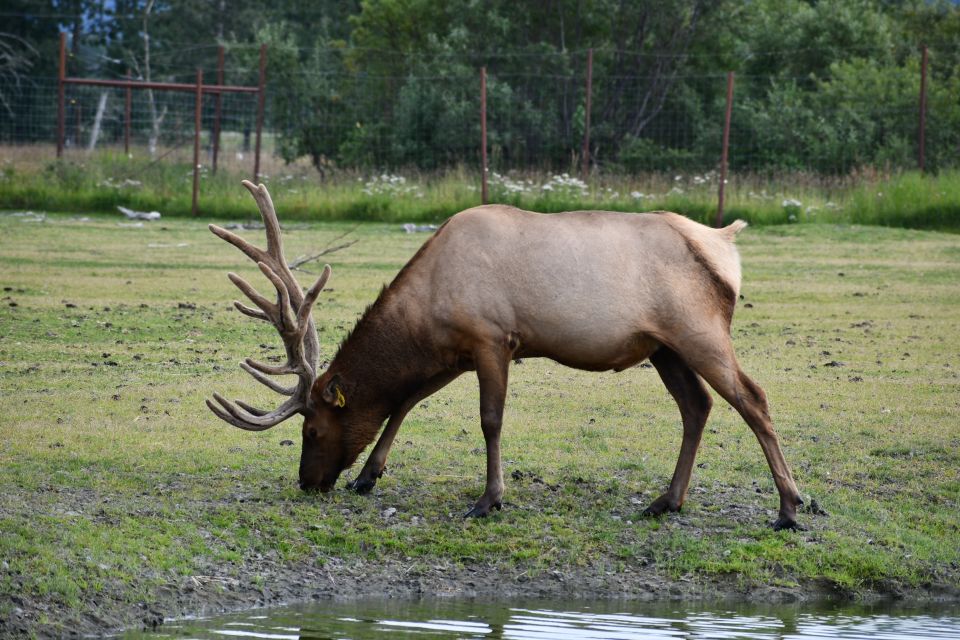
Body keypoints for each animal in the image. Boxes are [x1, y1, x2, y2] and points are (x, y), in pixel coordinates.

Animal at [208, 180, 804, 528]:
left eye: (311, 429)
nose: (308, 482)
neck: (427, 309)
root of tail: (726, 245)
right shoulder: (454, 350)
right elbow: (404, 403)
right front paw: (368, 476)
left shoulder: (491, 337)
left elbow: (489, 419)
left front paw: (487, 499)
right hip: (665, 348)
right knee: (697, 407)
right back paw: (665, 501)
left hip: (699, 330)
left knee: (753, 398)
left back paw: (790, 508)